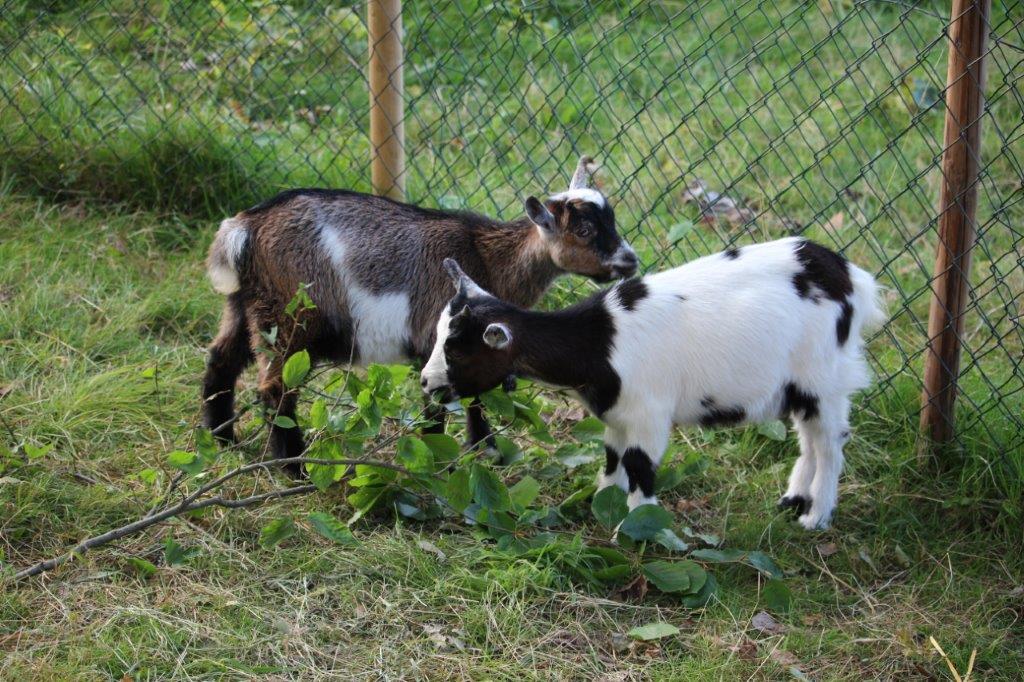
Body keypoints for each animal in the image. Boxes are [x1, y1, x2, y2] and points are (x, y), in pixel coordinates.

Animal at [200, 154, 634, 466]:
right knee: (275, 386)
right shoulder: (438, 335)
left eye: (611, 219)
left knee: (222, 358)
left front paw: (488, 452)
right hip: (291, 313)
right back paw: (294, 466)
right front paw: (439, 456)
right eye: (584, 230)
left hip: (247, 303)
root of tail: (246, 226)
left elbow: (477, 394)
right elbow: (446, 397)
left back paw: (222, 439)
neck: (488, 256)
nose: (629, 260)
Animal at [419, 236, 884, 528]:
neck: (600, 340)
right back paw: (793, 501)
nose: (426, 382)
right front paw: (602, 504)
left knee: (830, 443)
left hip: (823, 377)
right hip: (801, 387)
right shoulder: (617, 415)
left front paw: (635, 527)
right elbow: (613, 460)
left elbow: (640, 465)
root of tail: (848, 277)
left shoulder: (648, 414)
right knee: (809, 439)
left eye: (458, 350)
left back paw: (815, 517)